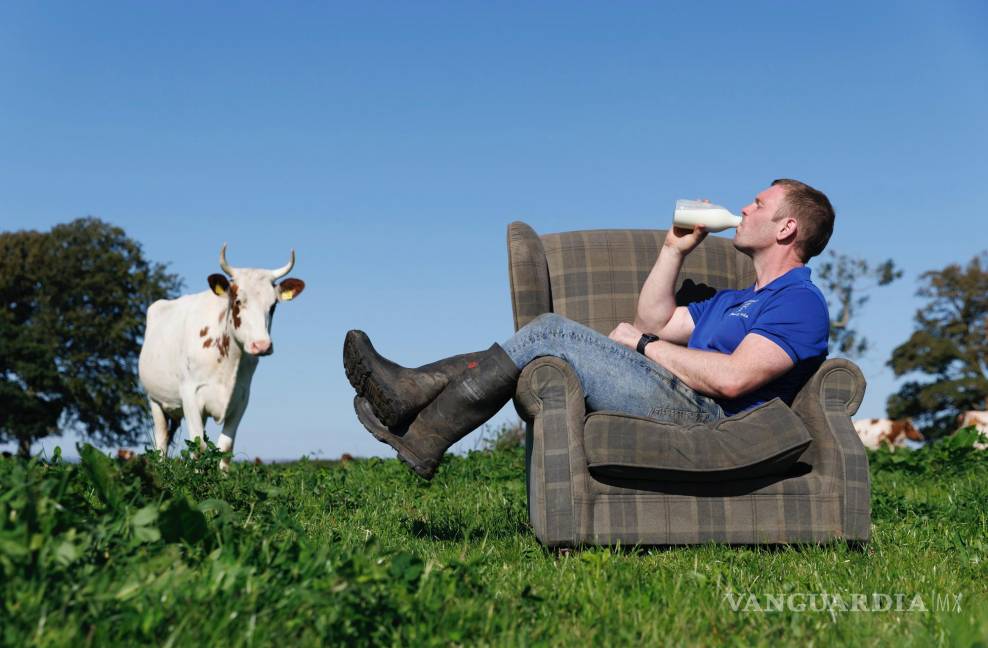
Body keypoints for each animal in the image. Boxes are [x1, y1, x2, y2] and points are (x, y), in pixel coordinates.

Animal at [137, 246, 302, 468]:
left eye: (273, 305)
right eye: (238, 301)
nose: (262, 345)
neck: (228, 362)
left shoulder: (241, 398)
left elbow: (224, 448)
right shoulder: (190, 393)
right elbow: (198, 447)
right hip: (155, 399)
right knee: (161, 440)